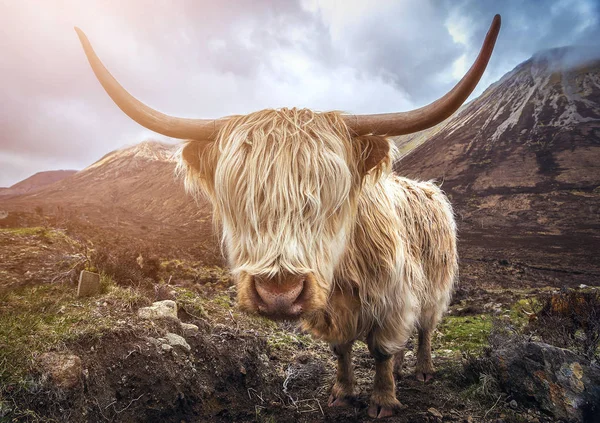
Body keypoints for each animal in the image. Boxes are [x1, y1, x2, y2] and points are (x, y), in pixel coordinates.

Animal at [78, 14, 502, 420]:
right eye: (239, 198)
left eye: (331, 198)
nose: (278, 294)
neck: (343, 275)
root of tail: (431, 189)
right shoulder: (332, 311)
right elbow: (342, 349)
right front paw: (342, 394)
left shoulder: (393, 296)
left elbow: (381, 349)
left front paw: (383, 400)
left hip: (435, 284)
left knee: (426, 327)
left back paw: (423, 370)